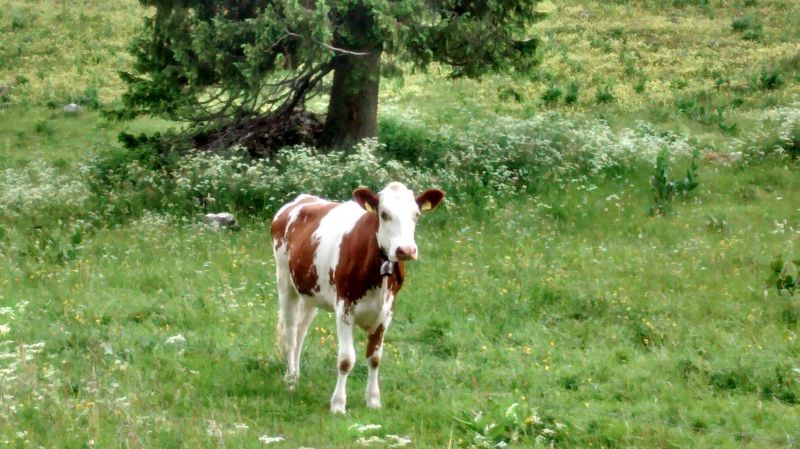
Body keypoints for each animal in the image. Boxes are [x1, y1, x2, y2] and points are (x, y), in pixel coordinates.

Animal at [268, 180, 444, 412]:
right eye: (384, 214)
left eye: (416, 215)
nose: (406, 250)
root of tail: (303, 199)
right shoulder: (344, 307)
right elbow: (346, 359)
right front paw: (338, 404)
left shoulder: (387, 311)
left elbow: (375, 358)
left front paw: (373, 400)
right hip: (285, 283)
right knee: (290, 335)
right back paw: (290, 380)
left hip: (310, 293)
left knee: (300, 332)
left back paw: (296, 375)